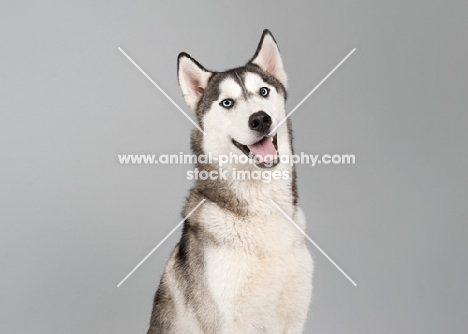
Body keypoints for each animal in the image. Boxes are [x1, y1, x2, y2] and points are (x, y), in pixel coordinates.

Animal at [148, 29, 312, 334]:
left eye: (263, 91)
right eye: (227, 102)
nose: (260, 119)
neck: (262, 205)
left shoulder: (294, 318)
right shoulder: (226, 320)